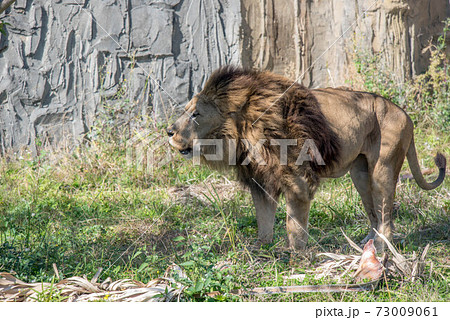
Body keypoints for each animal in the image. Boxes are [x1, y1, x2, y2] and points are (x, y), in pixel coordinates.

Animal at [166, 66, 446, 251]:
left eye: (195, 114)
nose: (169, 131)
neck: (241, 133)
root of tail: (406, 115)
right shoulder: (261, 181)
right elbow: (264, 219)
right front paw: (260, 250)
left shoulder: (298, 177)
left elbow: (294, 223)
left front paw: (297, 256)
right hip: (360, 173)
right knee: (375, 214)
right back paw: (363, 246)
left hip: (383, 169)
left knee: (386, 216)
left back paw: (379, 250)